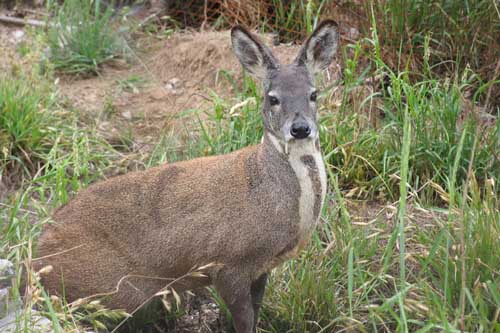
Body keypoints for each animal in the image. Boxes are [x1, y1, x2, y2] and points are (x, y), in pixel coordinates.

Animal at [32, 20, 340, 332]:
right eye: (273, 98)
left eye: (314, 94)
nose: (300, 128)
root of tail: (35, 259)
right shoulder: (229, 263)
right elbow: (243, 320)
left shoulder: (261, 268)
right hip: (108, 291)